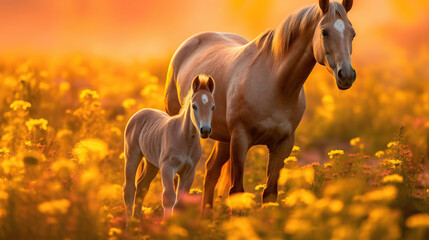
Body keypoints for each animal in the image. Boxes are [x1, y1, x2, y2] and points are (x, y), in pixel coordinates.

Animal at [123, 74, 216, 222]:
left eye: (212, 107)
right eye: (194, 106)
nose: (205, 130)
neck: (185, 139)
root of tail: (141, 112)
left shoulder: (189, 172)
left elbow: (180, 203)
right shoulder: (167, 167)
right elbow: (169, 198)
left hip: (152, 164)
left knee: (142, 188)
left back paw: (136, 224)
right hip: (132, 157)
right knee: (129, 190)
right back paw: (129, 224)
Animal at [163, 0, 354, 211]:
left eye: (352, 33)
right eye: (324, 32)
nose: (346, 75)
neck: (274, 83)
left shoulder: (283, 143)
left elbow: (270, 193)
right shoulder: (240, 139)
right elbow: (236, 192)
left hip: (224, 138)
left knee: (211, 171)